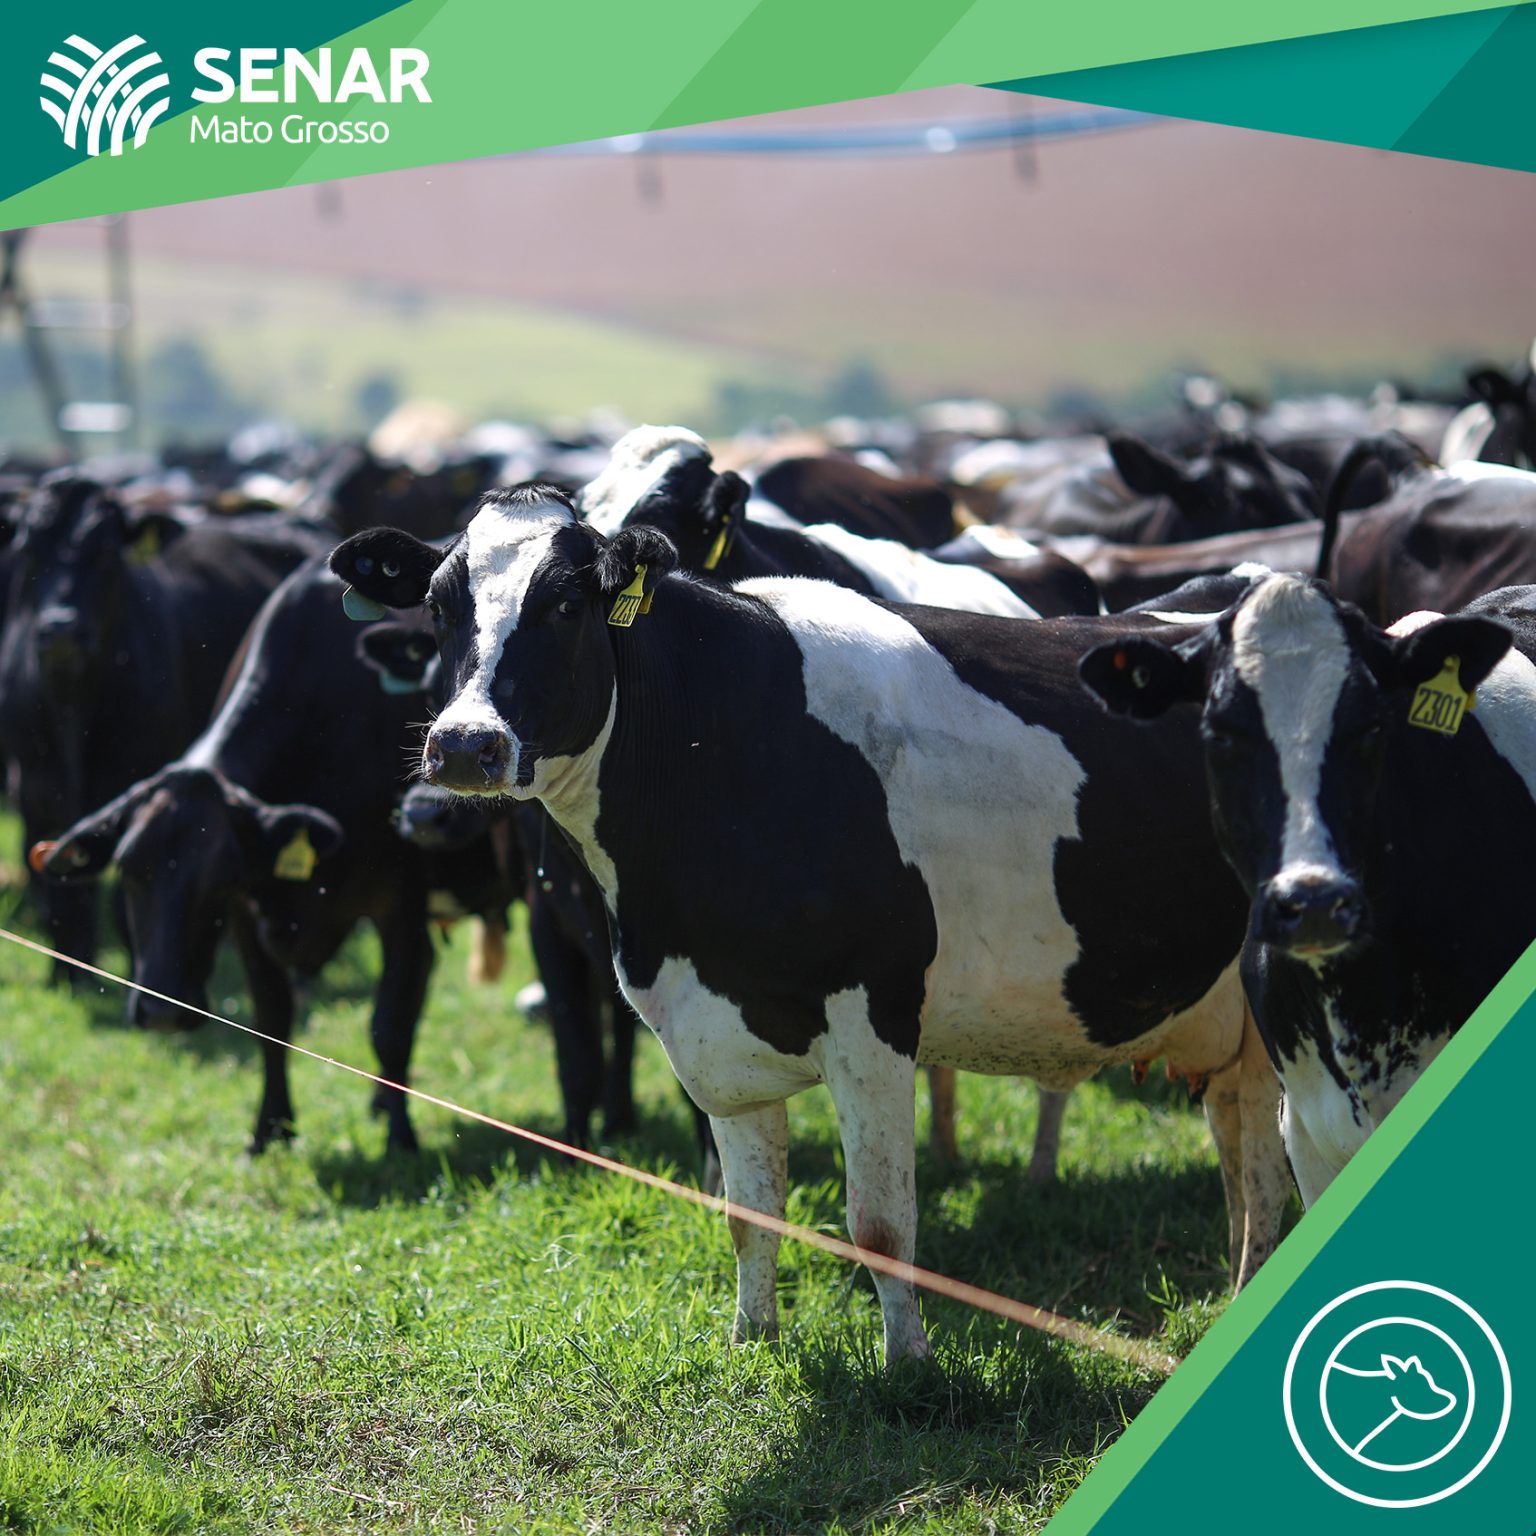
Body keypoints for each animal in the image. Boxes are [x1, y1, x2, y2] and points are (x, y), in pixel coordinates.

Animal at [0, 472, 325, 976]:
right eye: (29, 548)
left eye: (107, 552)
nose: (61, 628)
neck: (73, 702)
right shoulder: (35, 793)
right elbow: (60, 900)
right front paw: (68, 978)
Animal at [33, 558, 514, 1153]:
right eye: (127, 870)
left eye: (218, 877)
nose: (162, 1011)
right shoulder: (249, 914)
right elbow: (271, 1019)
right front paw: (269, 1130)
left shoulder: (401, 907)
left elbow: (390, 1024)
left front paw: (400, 1138)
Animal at [330, 485, 1290, 1363]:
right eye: (441, 605)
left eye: (565, 603)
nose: (464, 745)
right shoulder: (708, 1030)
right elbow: (749, 1215)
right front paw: (753, 1339)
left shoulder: (874, 1016)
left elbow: (881, 1226)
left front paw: (909, 1367)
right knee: (1247, 1157)